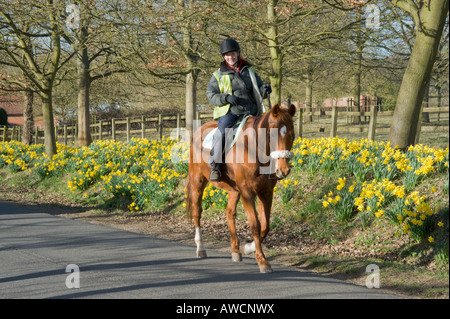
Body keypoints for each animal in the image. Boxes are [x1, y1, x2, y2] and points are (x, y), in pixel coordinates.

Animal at [185, 104, 296, 274]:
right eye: (271, 134)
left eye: (292, 134)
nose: (283, 170)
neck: (253, 148)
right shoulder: (247, 192)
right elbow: (255, 225)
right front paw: (262, 260)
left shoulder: (266, 193)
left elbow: (265, 226)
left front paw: (248, 248)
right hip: (198, 182)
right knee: (197, 213)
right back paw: (200, 248)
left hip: (233, 191)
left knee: (229, 213)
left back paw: (236, 251)